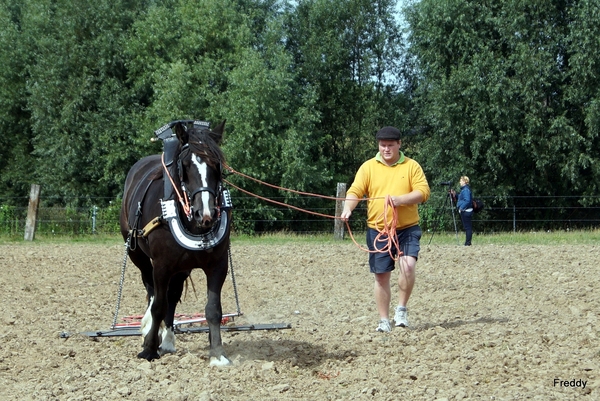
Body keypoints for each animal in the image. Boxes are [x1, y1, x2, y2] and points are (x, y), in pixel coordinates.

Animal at [119, 119, 232, 366]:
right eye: (186, 165)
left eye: (217, 164)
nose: (206, 214)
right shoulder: (162, 265)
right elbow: (158, 305)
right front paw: (149, 349)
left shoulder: (218, 265)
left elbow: (213, 309)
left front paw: (218, 354)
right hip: (138, 256)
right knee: (152, 291)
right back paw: (150, 332)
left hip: (182, 266)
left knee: (173, 294)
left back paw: (169, 339)